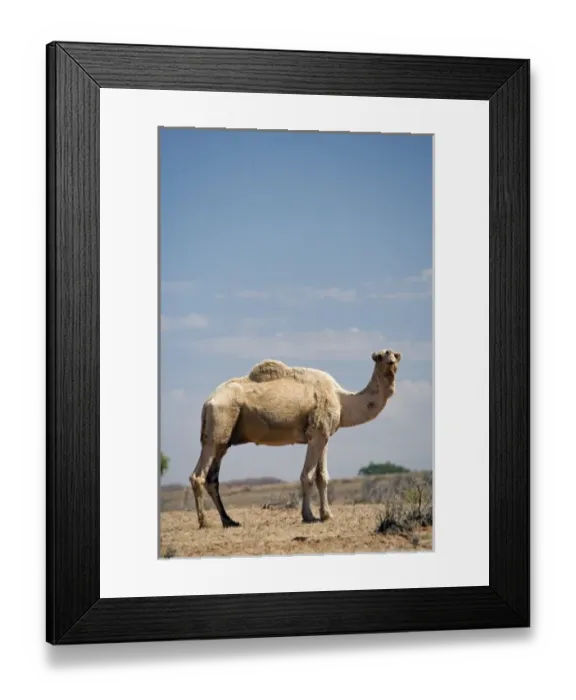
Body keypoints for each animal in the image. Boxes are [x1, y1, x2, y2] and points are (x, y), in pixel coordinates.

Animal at [189, 348, 402, 529]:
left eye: (395, 355)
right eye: (380, 356)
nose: (391, 361)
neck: (342, 400)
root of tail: (208, 402)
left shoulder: (323, 435)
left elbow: (322, 477)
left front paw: (327, 515)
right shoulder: (317, 432)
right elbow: (307, 476)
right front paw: (309, 516)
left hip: (224, 437)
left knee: (212, 478)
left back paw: (229, 520)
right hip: (219, 422)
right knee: (198, 475)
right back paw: (204, 522)